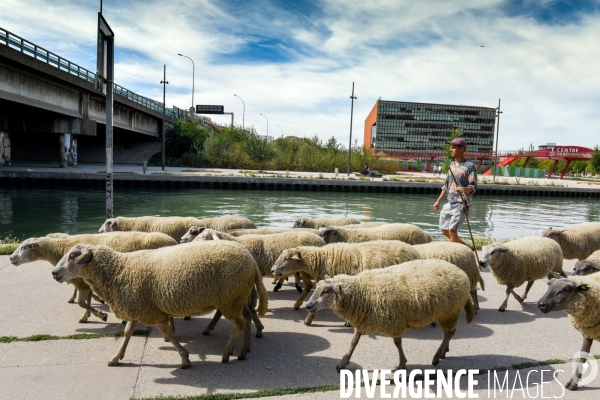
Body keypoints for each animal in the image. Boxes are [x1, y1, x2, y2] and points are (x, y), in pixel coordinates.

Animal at [9, 233, 177, 324]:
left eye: (24, 247)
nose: (10, 258)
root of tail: (173, 241)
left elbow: (82, 303)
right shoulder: (88, 281)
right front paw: (88, 315)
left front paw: (99, 315)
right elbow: (87, 301)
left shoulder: (81, 282)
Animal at [51, 241, 268, 368]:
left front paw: (185, 358)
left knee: (239, 323)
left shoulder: (151, 311)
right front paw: (116, 357)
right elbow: (127, 332)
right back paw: (243, 352)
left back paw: (226, 354)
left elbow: (169, 335)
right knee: (247, 318)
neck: (119, 271)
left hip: (230, 299)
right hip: (237, 297)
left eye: (73, 257)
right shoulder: (138, 307)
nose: (54, 273)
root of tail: (251, 260)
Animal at [308, 260, 476, 370]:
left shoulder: (395, 321)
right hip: (449, 313)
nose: (308, 305)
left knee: (449, 333)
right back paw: (443, 353)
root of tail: (461, 272)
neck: (363, 292)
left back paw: (436, 357)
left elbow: (397, 343)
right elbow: (353, 342)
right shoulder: (363, 320)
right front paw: (343, 362)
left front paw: (402, 364)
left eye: (325, 291)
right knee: (449, 333)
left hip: (450, 312)